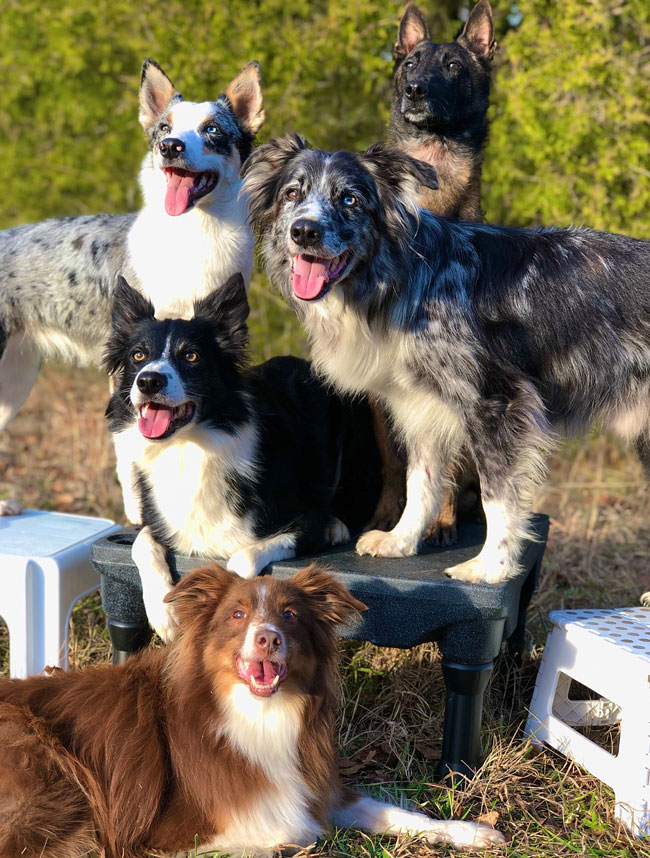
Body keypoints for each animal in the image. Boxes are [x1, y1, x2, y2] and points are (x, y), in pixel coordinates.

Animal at [0, 560, 504, 856]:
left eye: (290, 615)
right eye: (238, 614)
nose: (267, 638)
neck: (257, 714)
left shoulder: (310, 786)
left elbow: (398, 813)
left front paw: (469, 832)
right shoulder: (166, 834)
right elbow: (278, 838)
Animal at [240, 137, 648, 584]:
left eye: (350, 199)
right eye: (291, 194)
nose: (304, 231)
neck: (406, 279)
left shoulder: (496, 404)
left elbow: (496, 496)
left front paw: (491, 566)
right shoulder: (419, 405)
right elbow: (421, 482)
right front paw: (401, 540)